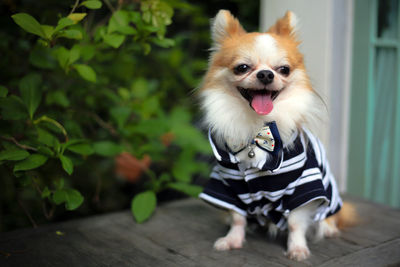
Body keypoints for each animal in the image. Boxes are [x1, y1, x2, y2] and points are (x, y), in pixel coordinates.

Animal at [198, 9, 354, 262]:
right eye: (242, 68)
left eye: (284, 69)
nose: (265, 74)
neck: (258, 130)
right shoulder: (229, 186)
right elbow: (238, 218)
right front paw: (232, 240)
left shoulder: (303, 187)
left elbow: (295, 223)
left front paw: (297, 248)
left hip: (329, 193)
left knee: (330, 213)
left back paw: (328, 227)